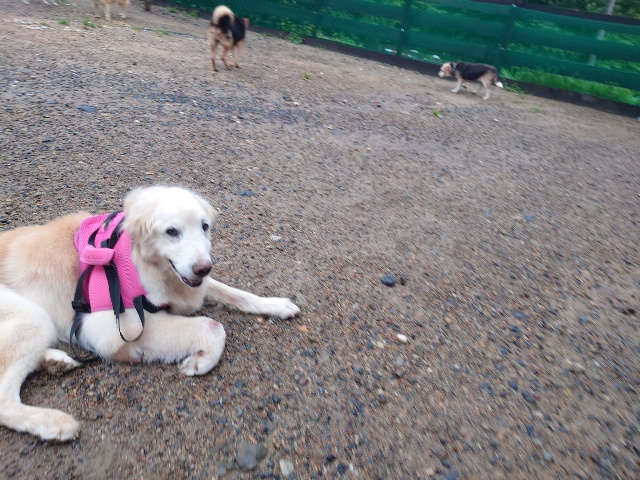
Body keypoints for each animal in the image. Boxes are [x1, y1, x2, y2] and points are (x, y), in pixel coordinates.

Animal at [0, 185, 299, 441]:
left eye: (204, 227)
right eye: (171, 231)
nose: (204, 268)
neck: (137, 260)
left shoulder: (191, 284)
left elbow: (236, 293)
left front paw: (276, 305)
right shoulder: (111, 326)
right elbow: (212, 326)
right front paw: (201, 361)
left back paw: (54, 361)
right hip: (33, 317)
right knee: (4, 400)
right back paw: (54, 423)